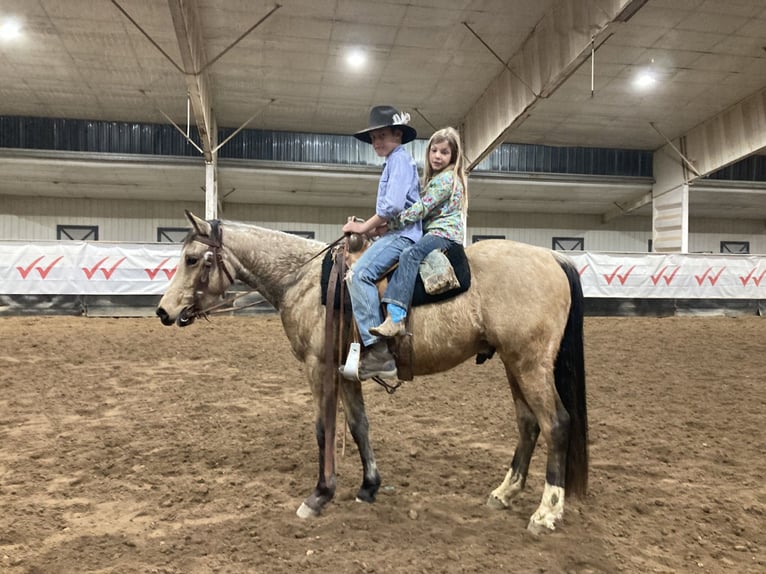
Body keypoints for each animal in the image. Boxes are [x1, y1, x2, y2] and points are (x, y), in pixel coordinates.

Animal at [154, 213, 588, 536]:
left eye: (192, 258)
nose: (163, 310)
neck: (304, 282)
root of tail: (553, 259)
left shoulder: (318, 368)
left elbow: (324, 428)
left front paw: (320, 495)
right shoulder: (346, 373)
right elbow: (358, 425)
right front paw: (368, 486)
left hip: (529, 363)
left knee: (556, 423)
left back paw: (546, 512)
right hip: (514, 364)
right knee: (528, 424)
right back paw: (504, 492)